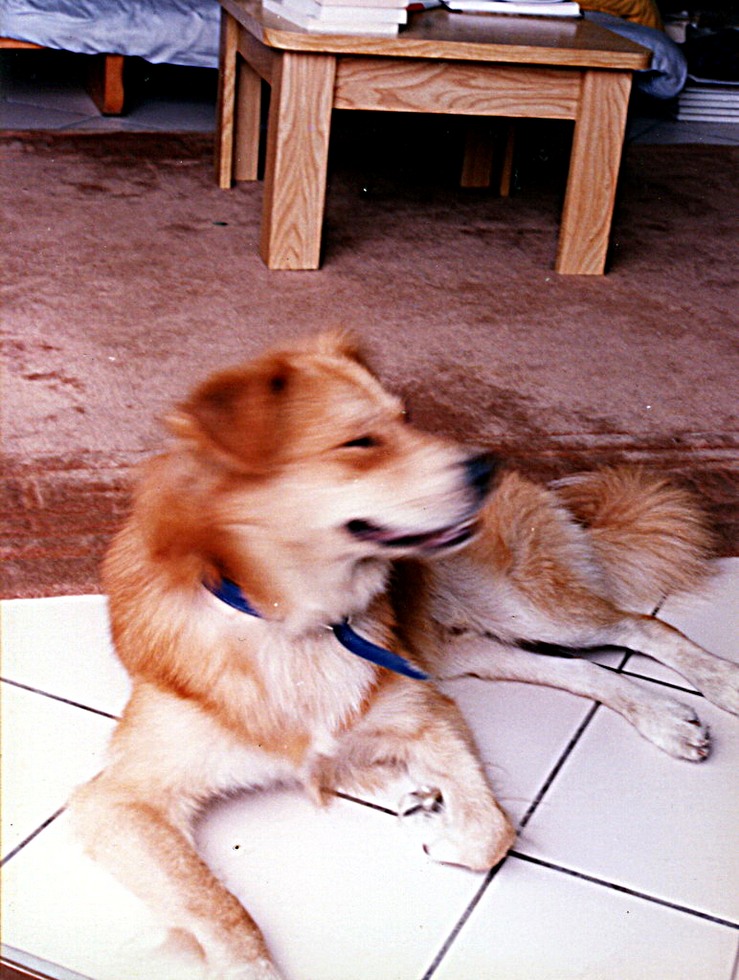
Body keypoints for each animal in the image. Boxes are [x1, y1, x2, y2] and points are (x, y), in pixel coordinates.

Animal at [71, 334, 739, 976]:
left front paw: (444, 829)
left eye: (408, 421)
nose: (485, 466)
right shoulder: (118, 801)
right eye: (360, 442)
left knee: (640, 624)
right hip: (458, 649)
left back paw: (719, 683)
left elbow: (494, 828)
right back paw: (664, 718)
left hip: (516, 606)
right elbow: (219, 908)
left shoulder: (428, 711)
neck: (294, 624)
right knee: (584, 667)